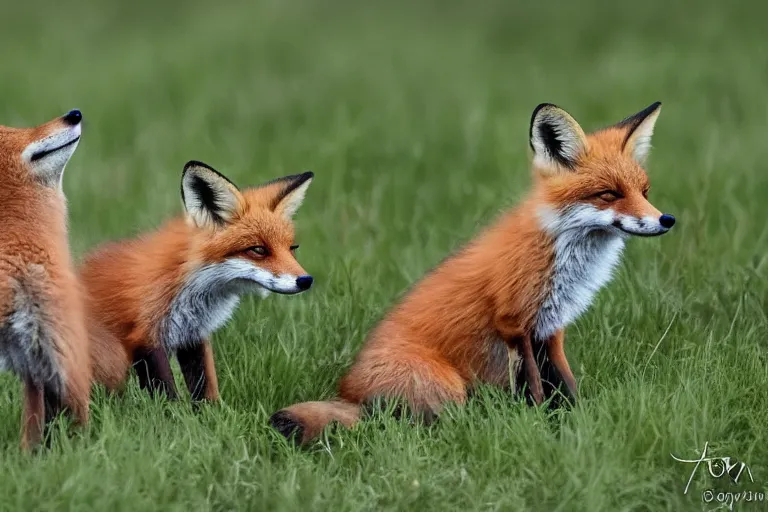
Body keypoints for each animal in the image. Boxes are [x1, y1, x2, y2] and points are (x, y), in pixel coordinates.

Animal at [79, 162, 314, 402]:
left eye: (292, 248)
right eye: (258, 250)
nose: (306, 280)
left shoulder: (192, 335)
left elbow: (205, 387)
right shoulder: (145, 336)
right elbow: (167, 394)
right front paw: (171, 412)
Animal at [272, 102, 680, 446]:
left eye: (644, 192)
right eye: (609, 194)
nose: (666, 220)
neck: (561, 255)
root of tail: (348, 393)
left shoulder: (551, 329)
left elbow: (567, 386)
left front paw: (579, 422)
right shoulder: (515, 324)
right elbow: (536, 390)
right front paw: (540, 430)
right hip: (448, 387)